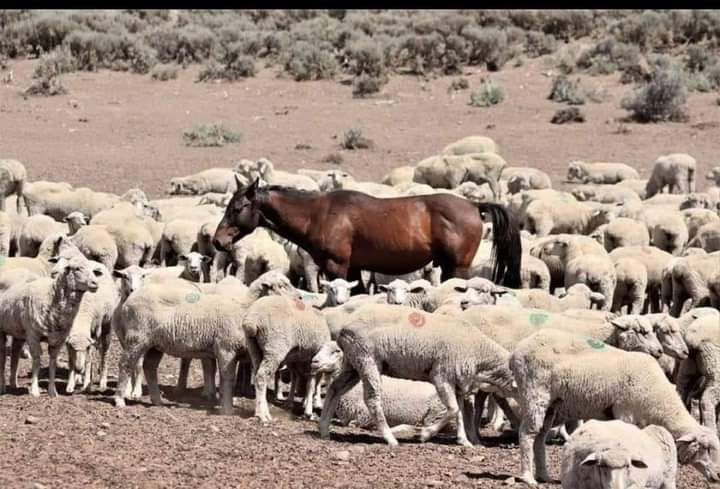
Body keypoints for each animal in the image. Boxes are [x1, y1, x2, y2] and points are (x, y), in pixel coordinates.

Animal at [213, 177, 522, 289]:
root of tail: (473, 205)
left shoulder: (336, 267)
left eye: (238, 207)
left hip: (457, 268)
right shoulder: (352, 269)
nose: (218, 241)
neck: (319, 214)